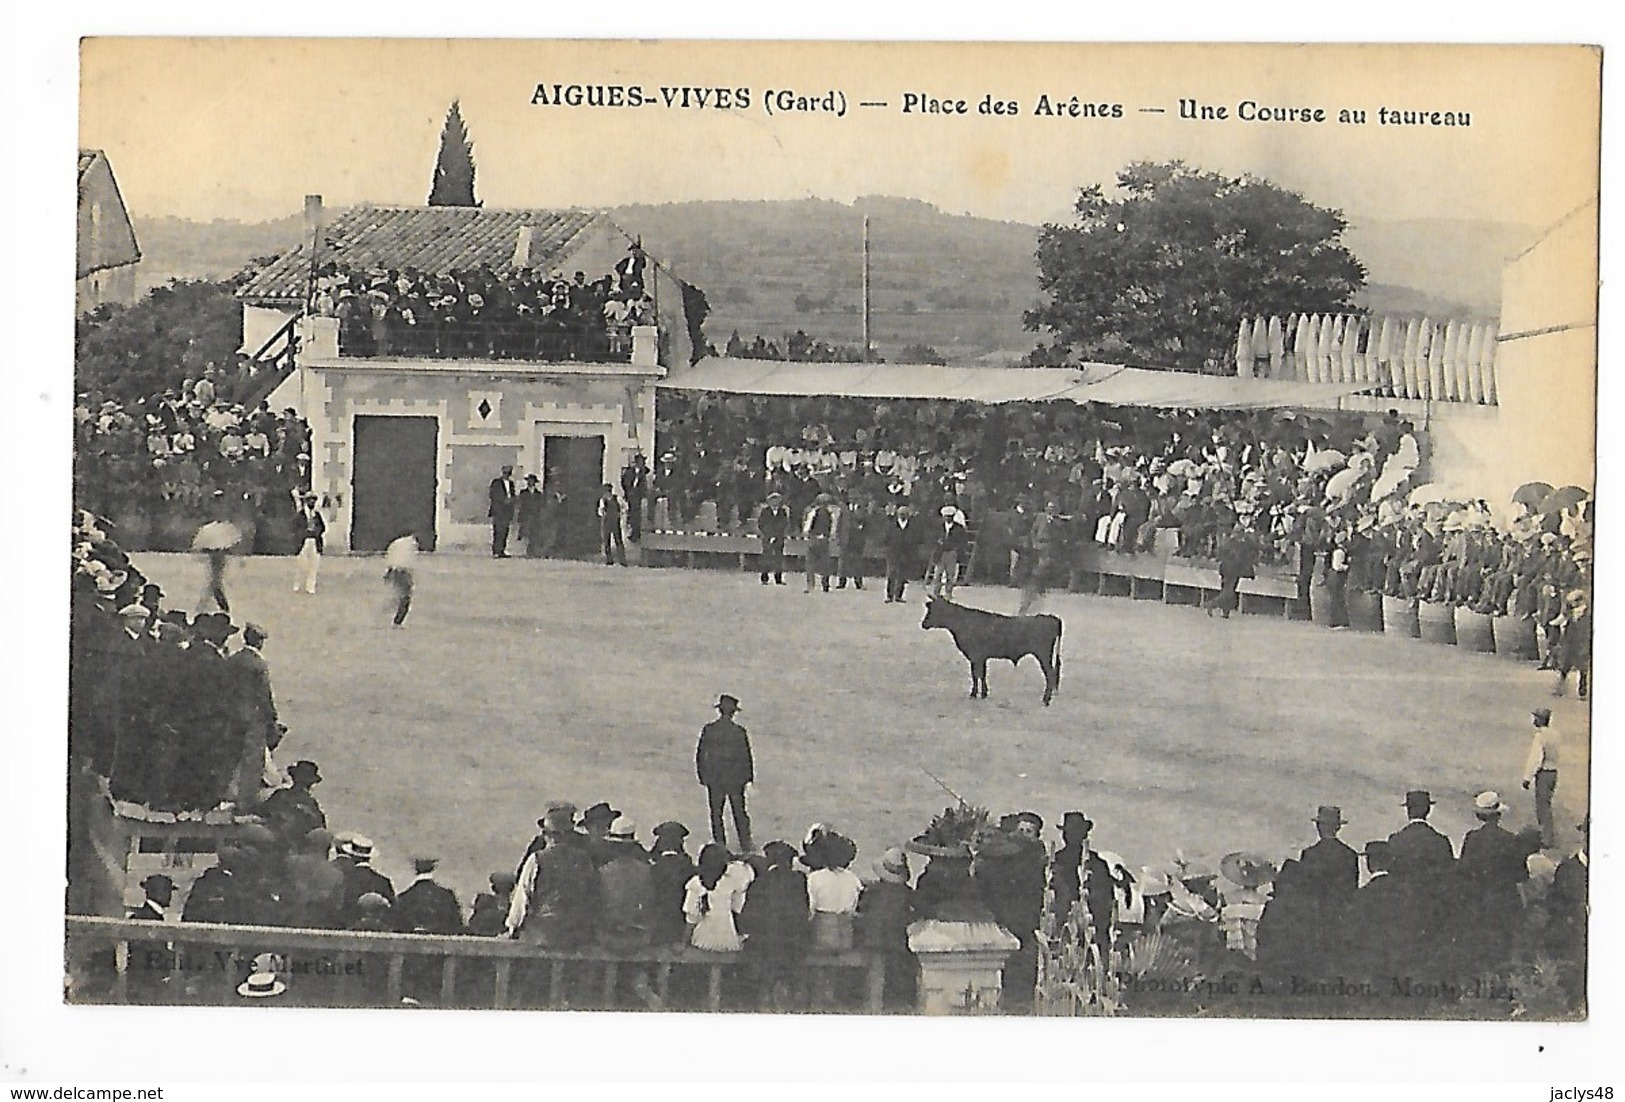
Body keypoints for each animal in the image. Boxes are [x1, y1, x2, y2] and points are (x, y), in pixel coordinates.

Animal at [923, 601, 1059, 702]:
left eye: (933, 610)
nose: (923, 624)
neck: (964, 623)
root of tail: (1052, 617)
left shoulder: (976, 656)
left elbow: (976, 675)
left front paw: (974, 694)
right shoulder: (980, 658)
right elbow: (981, 675)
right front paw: (983, 694)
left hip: (1043, 656)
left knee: (1051, 674)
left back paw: (1046, 699)